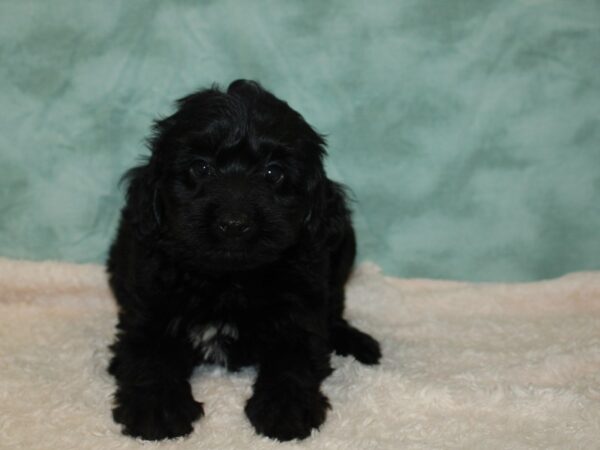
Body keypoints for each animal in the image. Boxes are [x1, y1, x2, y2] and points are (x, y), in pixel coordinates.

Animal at [107, 79, 380, 442]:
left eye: (274, 173)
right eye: (200, 167)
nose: (234, 223)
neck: (229, 279)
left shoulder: (302, 303)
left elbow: (297, 355)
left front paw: (286, 408)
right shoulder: (150, 298)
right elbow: (148, 351)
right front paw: (156, 407)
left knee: (334, 308)